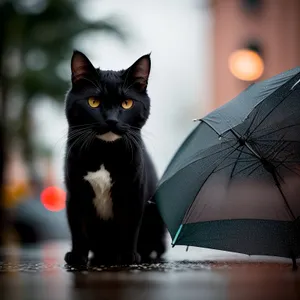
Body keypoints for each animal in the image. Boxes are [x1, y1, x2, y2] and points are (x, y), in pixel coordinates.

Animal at [63, 50, 166, 266]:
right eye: (93, 101)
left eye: (127, 103)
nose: (111, 120)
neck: (105, 153)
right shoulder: (75, 193)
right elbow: (78, 228)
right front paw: (77, 256)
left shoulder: (133, 192)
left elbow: (130, 227)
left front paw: (128, 256)